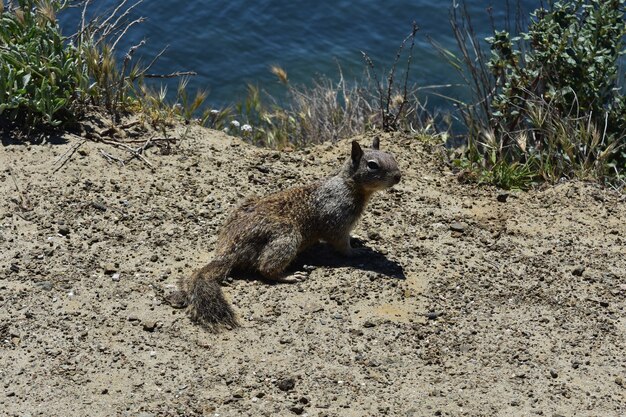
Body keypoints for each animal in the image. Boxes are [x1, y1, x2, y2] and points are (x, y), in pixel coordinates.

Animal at [176, 138, 400, 330]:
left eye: (391, 155)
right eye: (372, 165)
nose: (398, 176)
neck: (349, 185)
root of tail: (228, 251)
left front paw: (358, 240)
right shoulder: (337, 219)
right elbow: (340, 244)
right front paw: (356, 252)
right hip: (288, 236)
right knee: (266, 269)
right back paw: (290, 275)